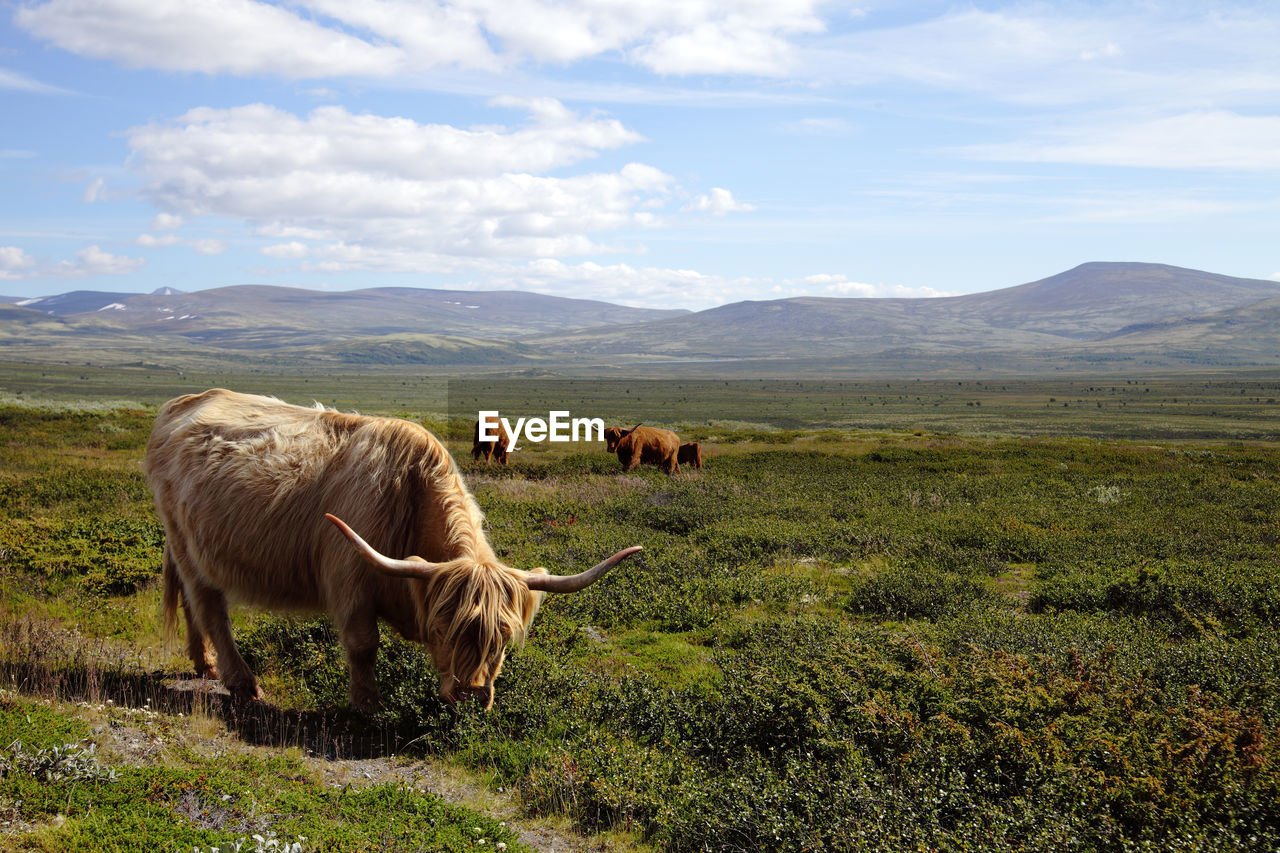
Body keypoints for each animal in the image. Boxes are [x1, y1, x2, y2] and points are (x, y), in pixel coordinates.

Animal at [145, 389, 640, 706]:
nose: (471, 694)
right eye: (442, 627)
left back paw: (204, 664)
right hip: (188, 545)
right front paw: (368, 706)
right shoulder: (350, 582)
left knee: (191, 600)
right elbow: (364, 646)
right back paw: (241, 682)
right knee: (209, 606)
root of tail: (182, 403)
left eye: (502, 637)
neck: (410, 501)